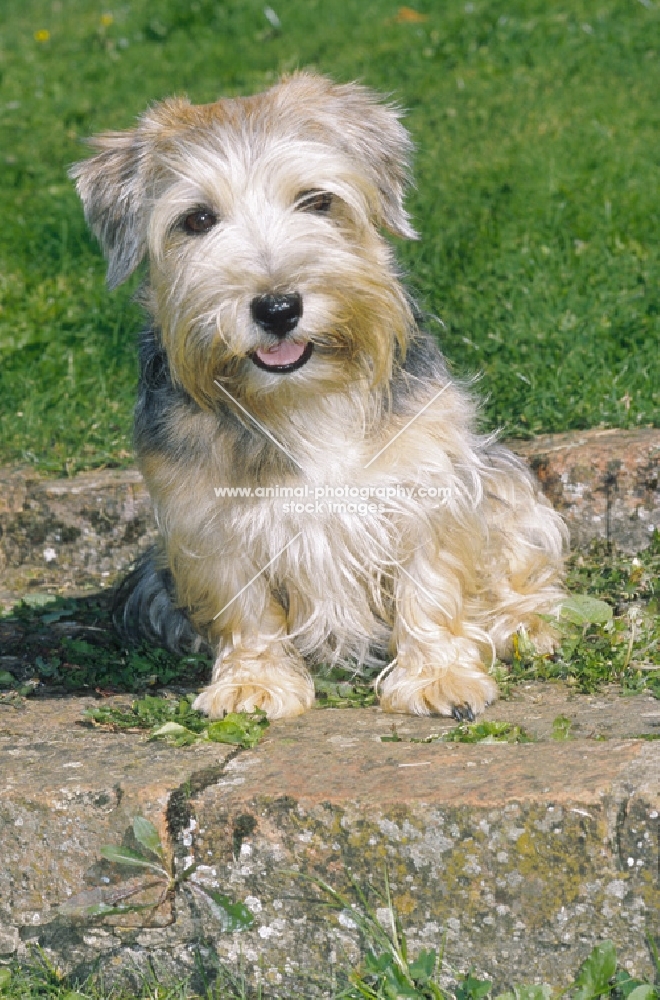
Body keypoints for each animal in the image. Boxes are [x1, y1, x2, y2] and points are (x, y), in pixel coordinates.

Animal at [71, 74, 568, 724]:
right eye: (197, 219)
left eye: (316, 200)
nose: (278, 307)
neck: (302, 397)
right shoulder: (209, 523)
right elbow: (246, 608)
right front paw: (253, 680)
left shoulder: (428, 489)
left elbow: (431, 588)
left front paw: (437, 673)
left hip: (506, 483)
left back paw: (522, 626)